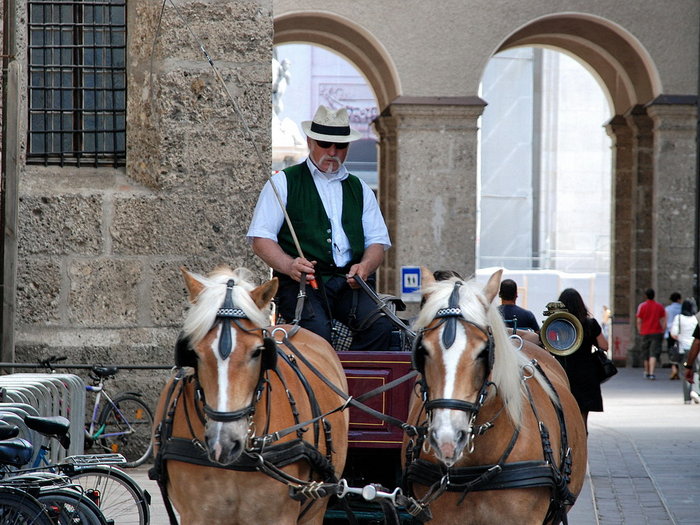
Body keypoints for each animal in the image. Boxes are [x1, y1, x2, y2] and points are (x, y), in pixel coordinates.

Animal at [153, 266, 350, 524]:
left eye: (258, 352)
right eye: (194, 352)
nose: (223, 444)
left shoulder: (280, 517)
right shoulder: (196, 516)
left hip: (315, 510)